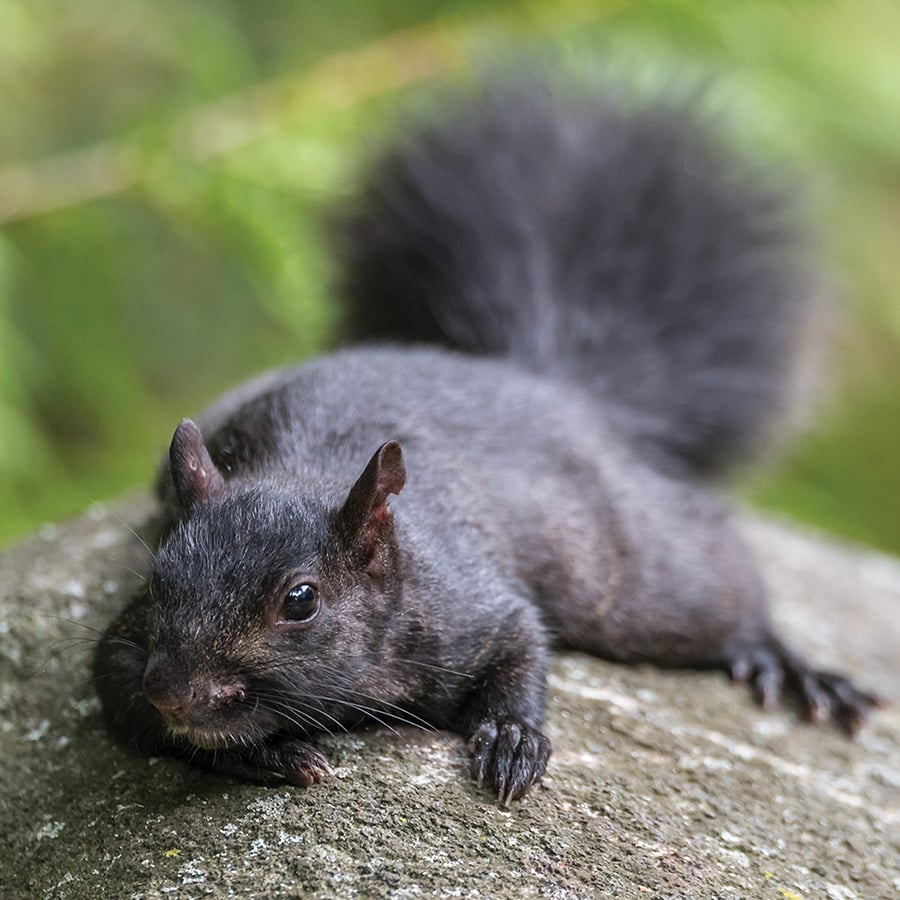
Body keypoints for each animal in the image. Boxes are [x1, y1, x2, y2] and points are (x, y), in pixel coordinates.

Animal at [94, 72, 882, 803]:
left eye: (301, 600)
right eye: (158, 578)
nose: (175, 691)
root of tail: (546, 381)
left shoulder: (471, 605)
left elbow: (522, 644)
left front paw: (512, 737)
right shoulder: (123, 653)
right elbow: (121, 699)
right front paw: (267, 752)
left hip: (633, 576)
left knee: (721, 586)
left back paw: (788, 662)